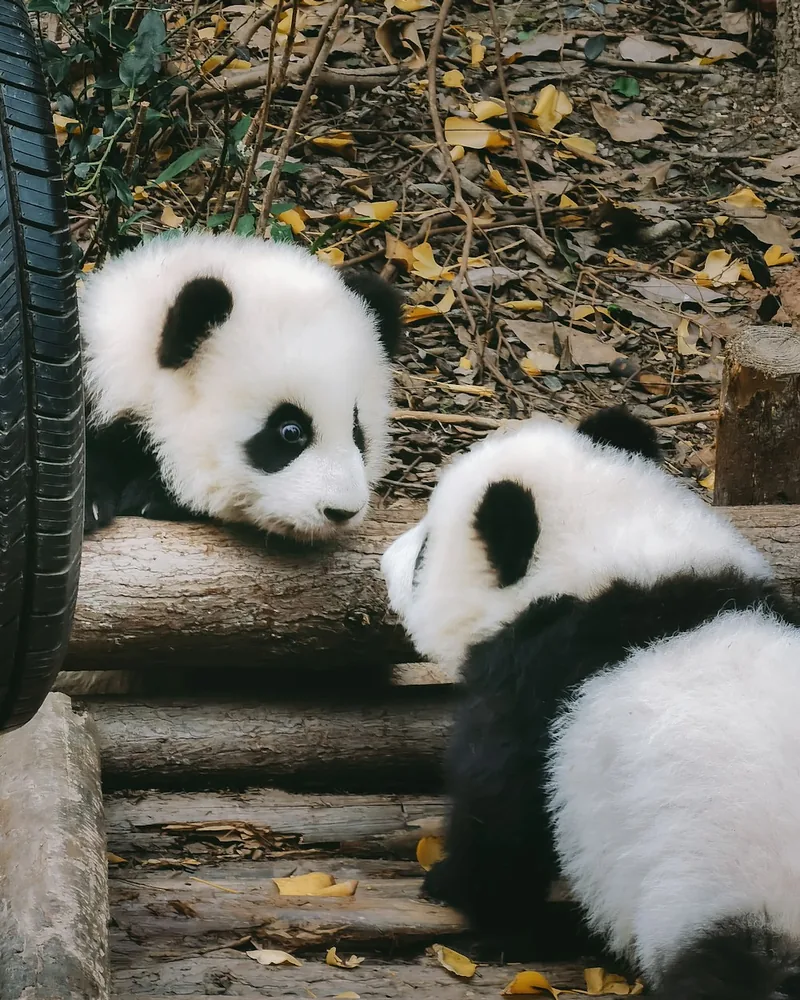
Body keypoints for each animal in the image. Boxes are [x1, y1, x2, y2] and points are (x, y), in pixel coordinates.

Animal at [381, 406, 800, 1000]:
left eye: (422, 556)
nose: (384, 560)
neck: (612, 557)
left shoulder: (539, 685)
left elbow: (501, 808)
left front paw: (455, 886)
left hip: (726, 905)